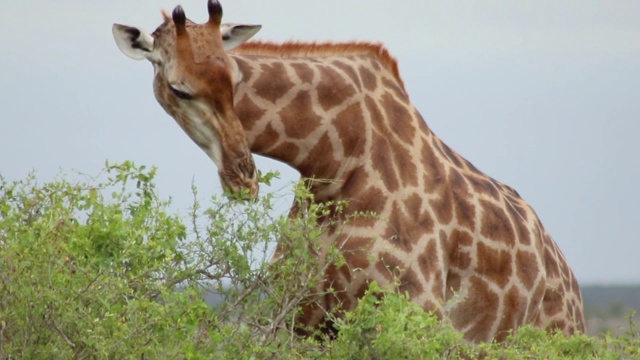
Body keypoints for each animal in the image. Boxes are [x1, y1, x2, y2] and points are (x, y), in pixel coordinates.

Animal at [112, 0, 584, 344]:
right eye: (179, 89)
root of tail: (571, 286)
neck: (333, 162)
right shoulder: (300, 321)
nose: (243, 177)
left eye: (233, 78)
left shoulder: (413, 313)